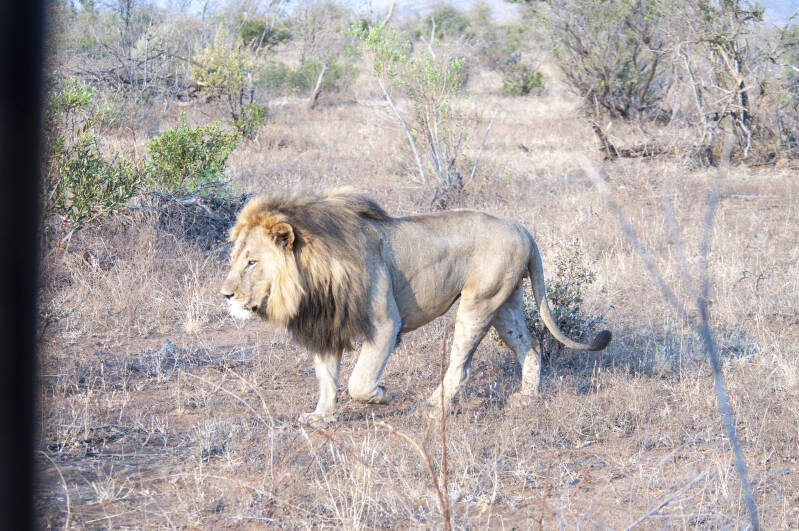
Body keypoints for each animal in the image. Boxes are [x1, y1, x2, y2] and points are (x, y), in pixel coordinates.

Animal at [221, 190, 611, 426]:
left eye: (252, 262)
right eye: (236, 258)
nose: (225, 294)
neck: (315, 274)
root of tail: (522, 228)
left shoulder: (384, 324)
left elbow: (359, 382)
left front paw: (383, 394)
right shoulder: (328, 325)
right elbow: (327, 379)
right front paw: (320, 416)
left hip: (478, 303)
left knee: (460, 365)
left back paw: (433, 406)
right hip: (505, 304)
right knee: (530, 349)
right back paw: (527, 398)